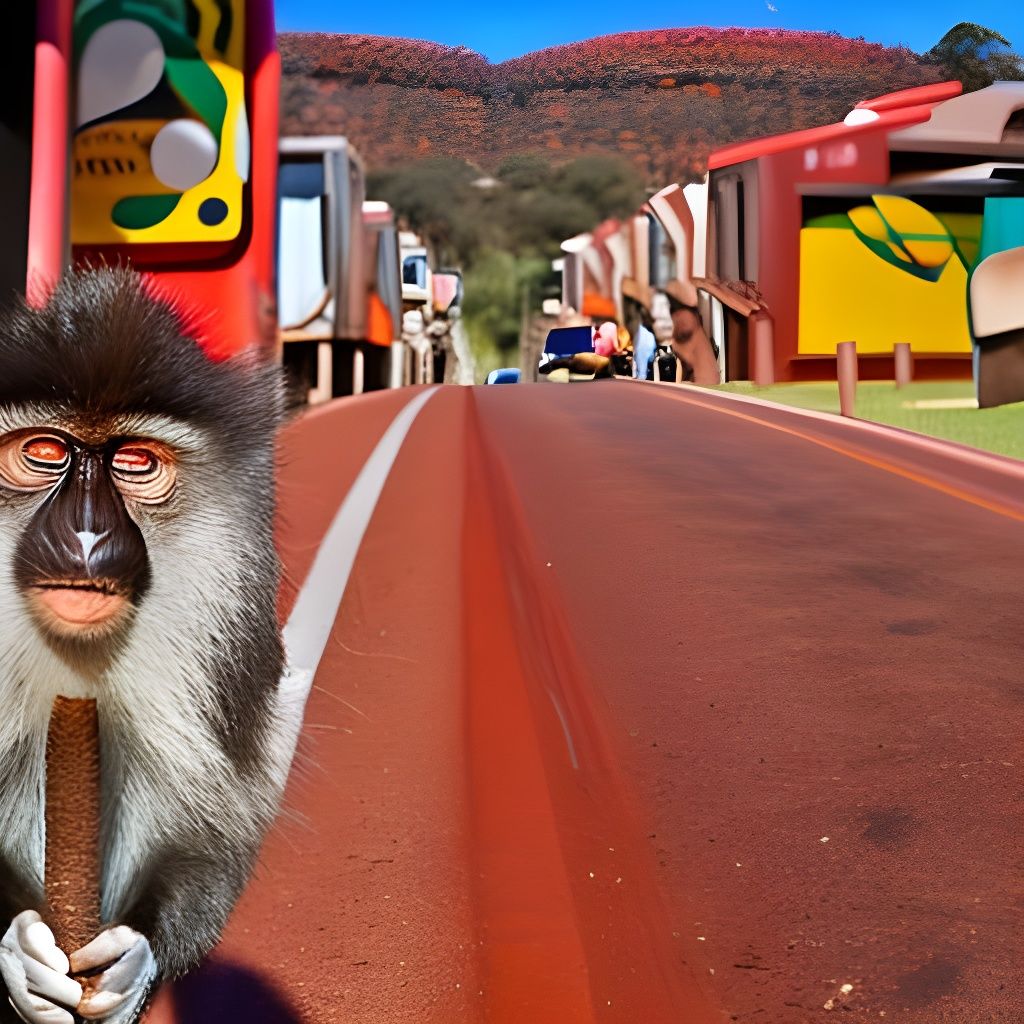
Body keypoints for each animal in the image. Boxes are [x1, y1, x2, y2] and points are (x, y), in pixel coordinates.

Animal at [0, 267, 300, 1024]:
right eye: (45, 451)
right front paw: (20, 952)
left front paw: (130, 960)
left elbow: (218, 823)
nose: (85, 535)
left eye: (134, 460)